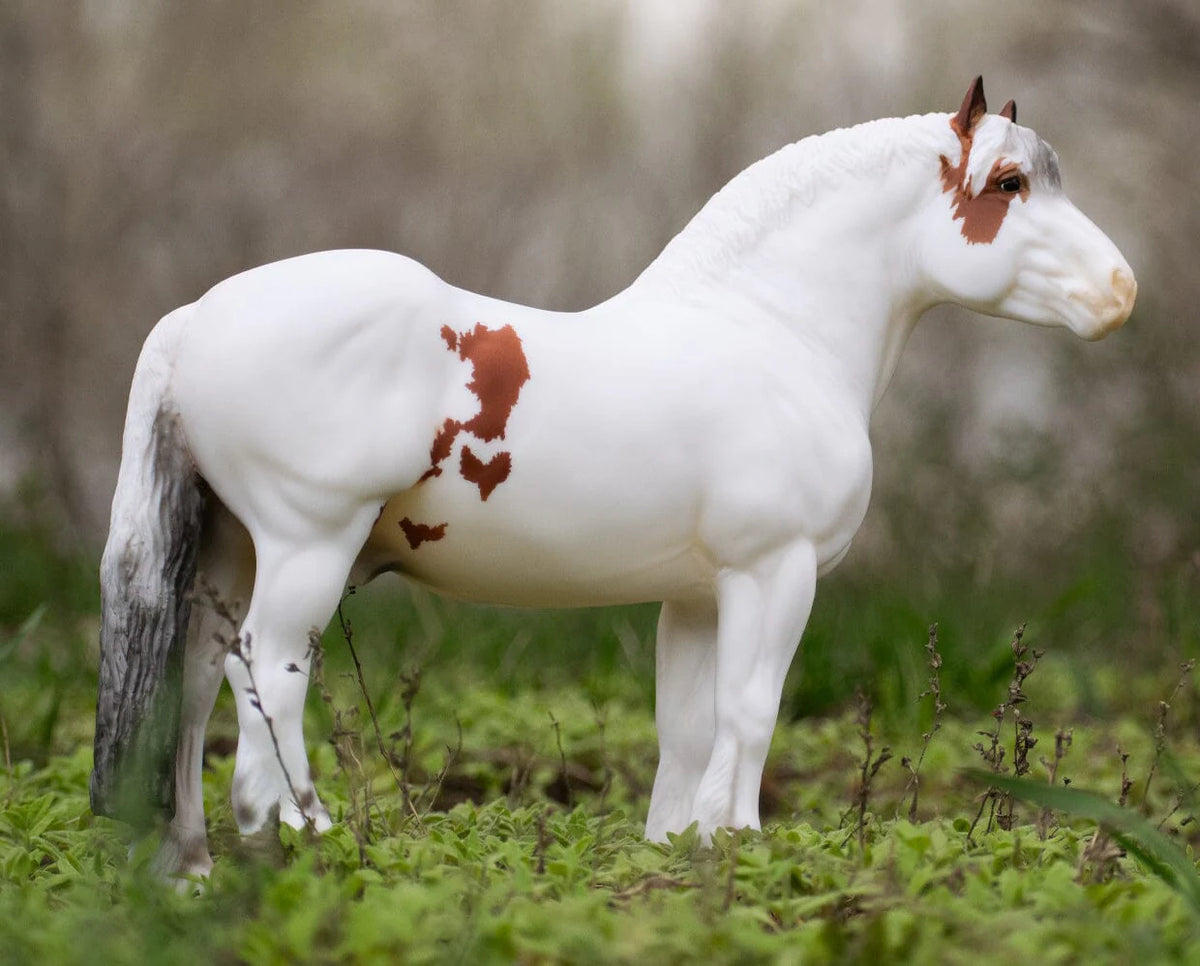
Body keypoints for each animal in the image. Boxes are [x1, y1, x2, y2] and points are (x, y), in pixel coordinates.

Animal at [91, 78, 1136, 878]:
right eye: (1009, 182)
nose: (1121, 294)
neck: (770, 329)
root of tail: (195, 318)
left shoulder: (701, 595)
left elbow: (687, 726)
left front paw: (678, 848)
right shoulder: (775, 571)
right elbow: (752, 709)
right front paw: (736, 843)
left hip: (231, 550)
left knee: (194, 679)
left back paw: (192, 862)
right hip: (307, 545)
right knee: (264, 673)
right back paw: (296, 832)